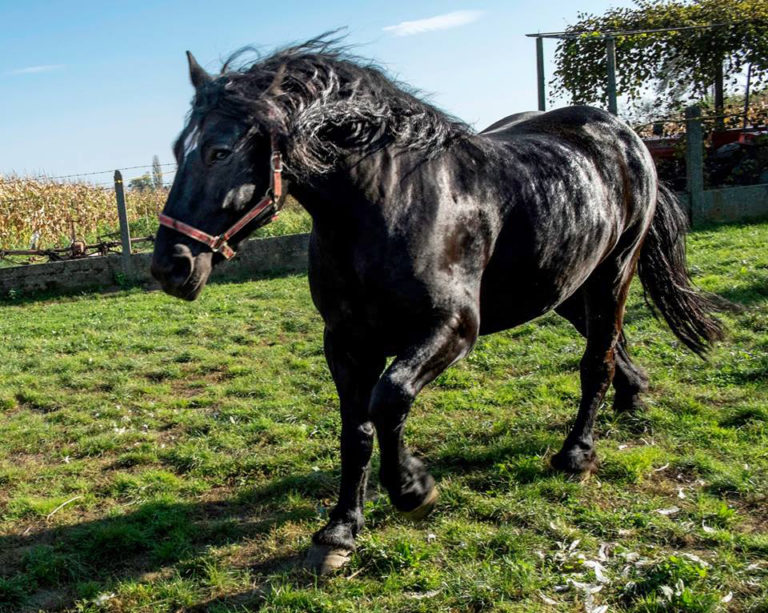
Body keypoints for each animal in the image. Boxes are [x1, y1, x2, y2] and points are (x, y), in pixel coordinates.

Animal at [150, 37, 723, 574]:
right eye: (180, 151)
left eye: (220, 151)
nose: (169, 266)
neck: (390, 206)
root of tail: (623, 133)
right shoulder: (346, 342)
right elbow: (356, 431)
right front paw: (339, 532)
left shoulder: (452, 328)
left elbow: (389, 399)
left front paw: (413, 490)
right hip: (558, 285)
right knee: (607, 343)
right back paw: (633, 393)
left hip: (612, 272)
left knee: (596, 359)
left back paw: (576, 454)